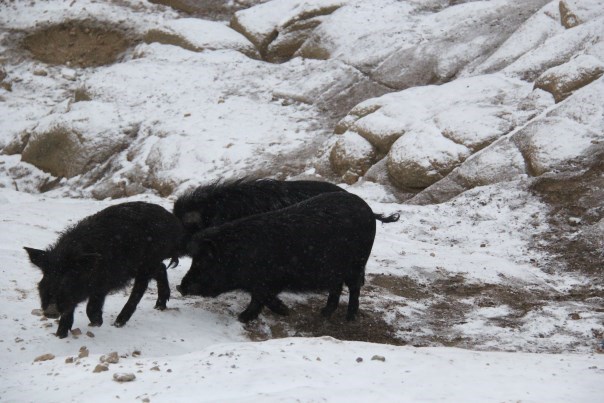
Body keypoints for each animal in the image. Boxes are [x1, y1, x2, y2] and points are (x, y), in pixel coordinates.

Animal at [23, 201, 183, 338]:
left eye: (68, 279)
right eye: (46, 279)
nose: (50, 310)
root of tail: (173, 221)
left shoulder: (102, 283)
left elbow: (91, 306)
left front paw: (97, 323)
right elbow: (70, 308)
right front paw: (60, 335)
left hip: (147, 262)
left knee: (140, 287)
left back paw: (118, 323)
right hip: (147, 264)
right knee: (161, 268)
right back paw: (159, 306)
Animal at [177, 192, 398, 322]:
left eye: (205, 262)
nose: (180, 287)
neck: (238, 254)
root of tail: (369, 210)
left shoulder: (266, 281)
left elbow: (260, 298)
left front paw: (249, 316)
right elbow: (259, 298)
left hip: (357, 262)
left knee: (354, 287)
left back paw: (349, 318)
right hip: (335, 269)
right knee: (336, 287)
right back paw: (324, 313)